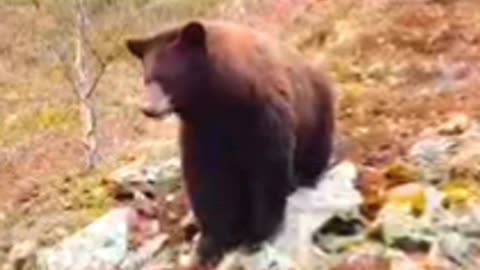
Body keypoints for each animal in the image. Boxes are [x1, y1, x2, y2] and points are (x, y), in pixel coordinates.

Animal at [125, 19, 336, 268]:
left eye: (166, 77)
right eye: (147, 78)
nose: (147, 108)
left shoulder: (260, 112)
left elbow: (268, 166)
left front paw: (258, 234)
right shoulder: (202, 132)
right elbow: (208, 179)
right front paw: (211, 243)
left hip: (315, 112)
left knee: (315, 151)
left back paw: (304, 177)